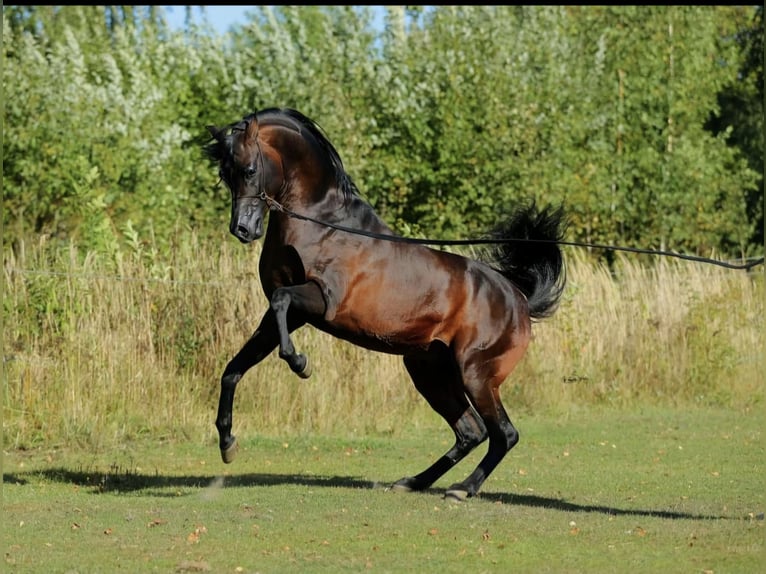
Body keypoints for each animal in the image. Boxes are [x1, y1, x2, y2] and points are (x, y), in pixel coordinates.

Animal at [207, 108, 568, 504]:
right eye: (224, 174)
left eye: (249, 169)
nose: (242, 229)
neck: (325, 226)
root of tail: (519, 298)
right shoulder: (291, 315)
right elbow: (234, 368)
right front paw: (227, 442)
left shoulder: (319, 301)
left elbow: (282, 300)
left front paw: (301, 364)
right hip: (429, 371)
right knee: (471, 431)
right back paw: (412, 481)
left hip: (476, 374)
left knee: (504, 433)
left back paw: (463, 489)